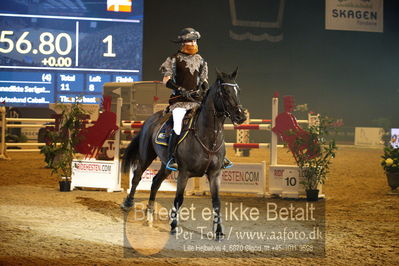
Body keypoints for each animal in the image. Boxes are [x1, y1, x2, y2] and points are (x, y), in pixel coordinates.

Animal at [121, 67, 247, 240]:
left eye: (238, 90)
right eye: (225, 91)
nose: (241, 116)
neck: (208, 137)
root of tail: (151, 119)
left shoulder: (215, 174)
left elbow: (216, 202)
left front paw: (218, 231)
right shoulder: (184, 173)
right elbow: (179, 198)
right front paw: (174, 226)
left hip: (166, 165)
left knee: (155, 182)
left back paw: (149, 217)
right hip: (146, 156)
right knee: (137, 177)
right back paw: (128, 203)